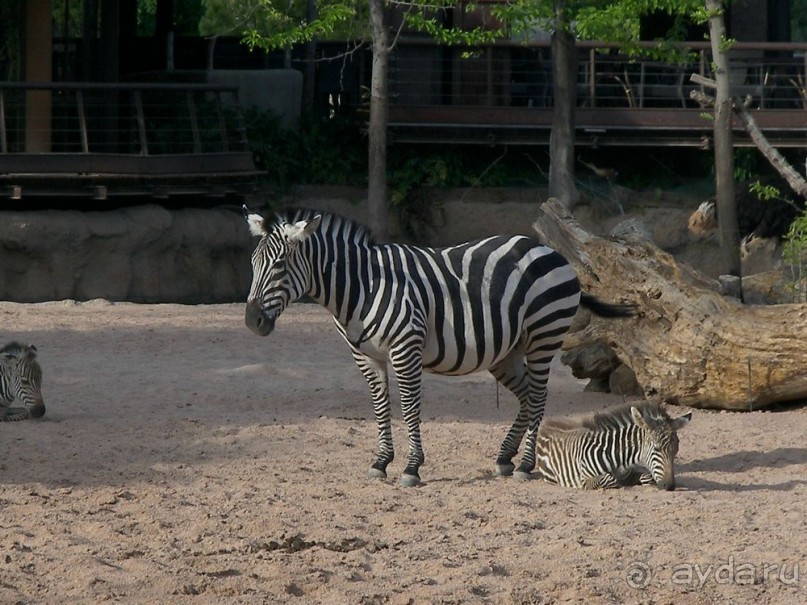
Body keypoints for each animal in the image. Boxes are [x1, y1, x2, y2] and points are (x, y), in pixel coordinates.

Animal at [243, 208, 636, 486]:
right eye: (253, 264)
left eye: (279, 265)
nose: (251, 321)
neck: (361, 286)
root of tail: (547, 249)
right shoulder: (366, 356)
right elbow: (380, 408)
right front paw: (381, 462)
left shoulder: (406, 348)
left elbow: (409, 408)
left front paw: (411, 468)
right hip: (507, 351)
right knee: (526, 396)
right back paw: (504, 458)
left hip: (545, 334)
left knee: (538, 397)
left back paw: (525, 464)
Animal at [532, 402, 692, 490]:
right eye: (657, 449)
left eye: (675, 451)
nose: (670, 487)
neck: (619, 460)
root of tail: (546, 425)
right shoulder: (585, 480)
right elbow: (611, 479)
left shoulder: (630, 473)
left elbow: (647, 476)